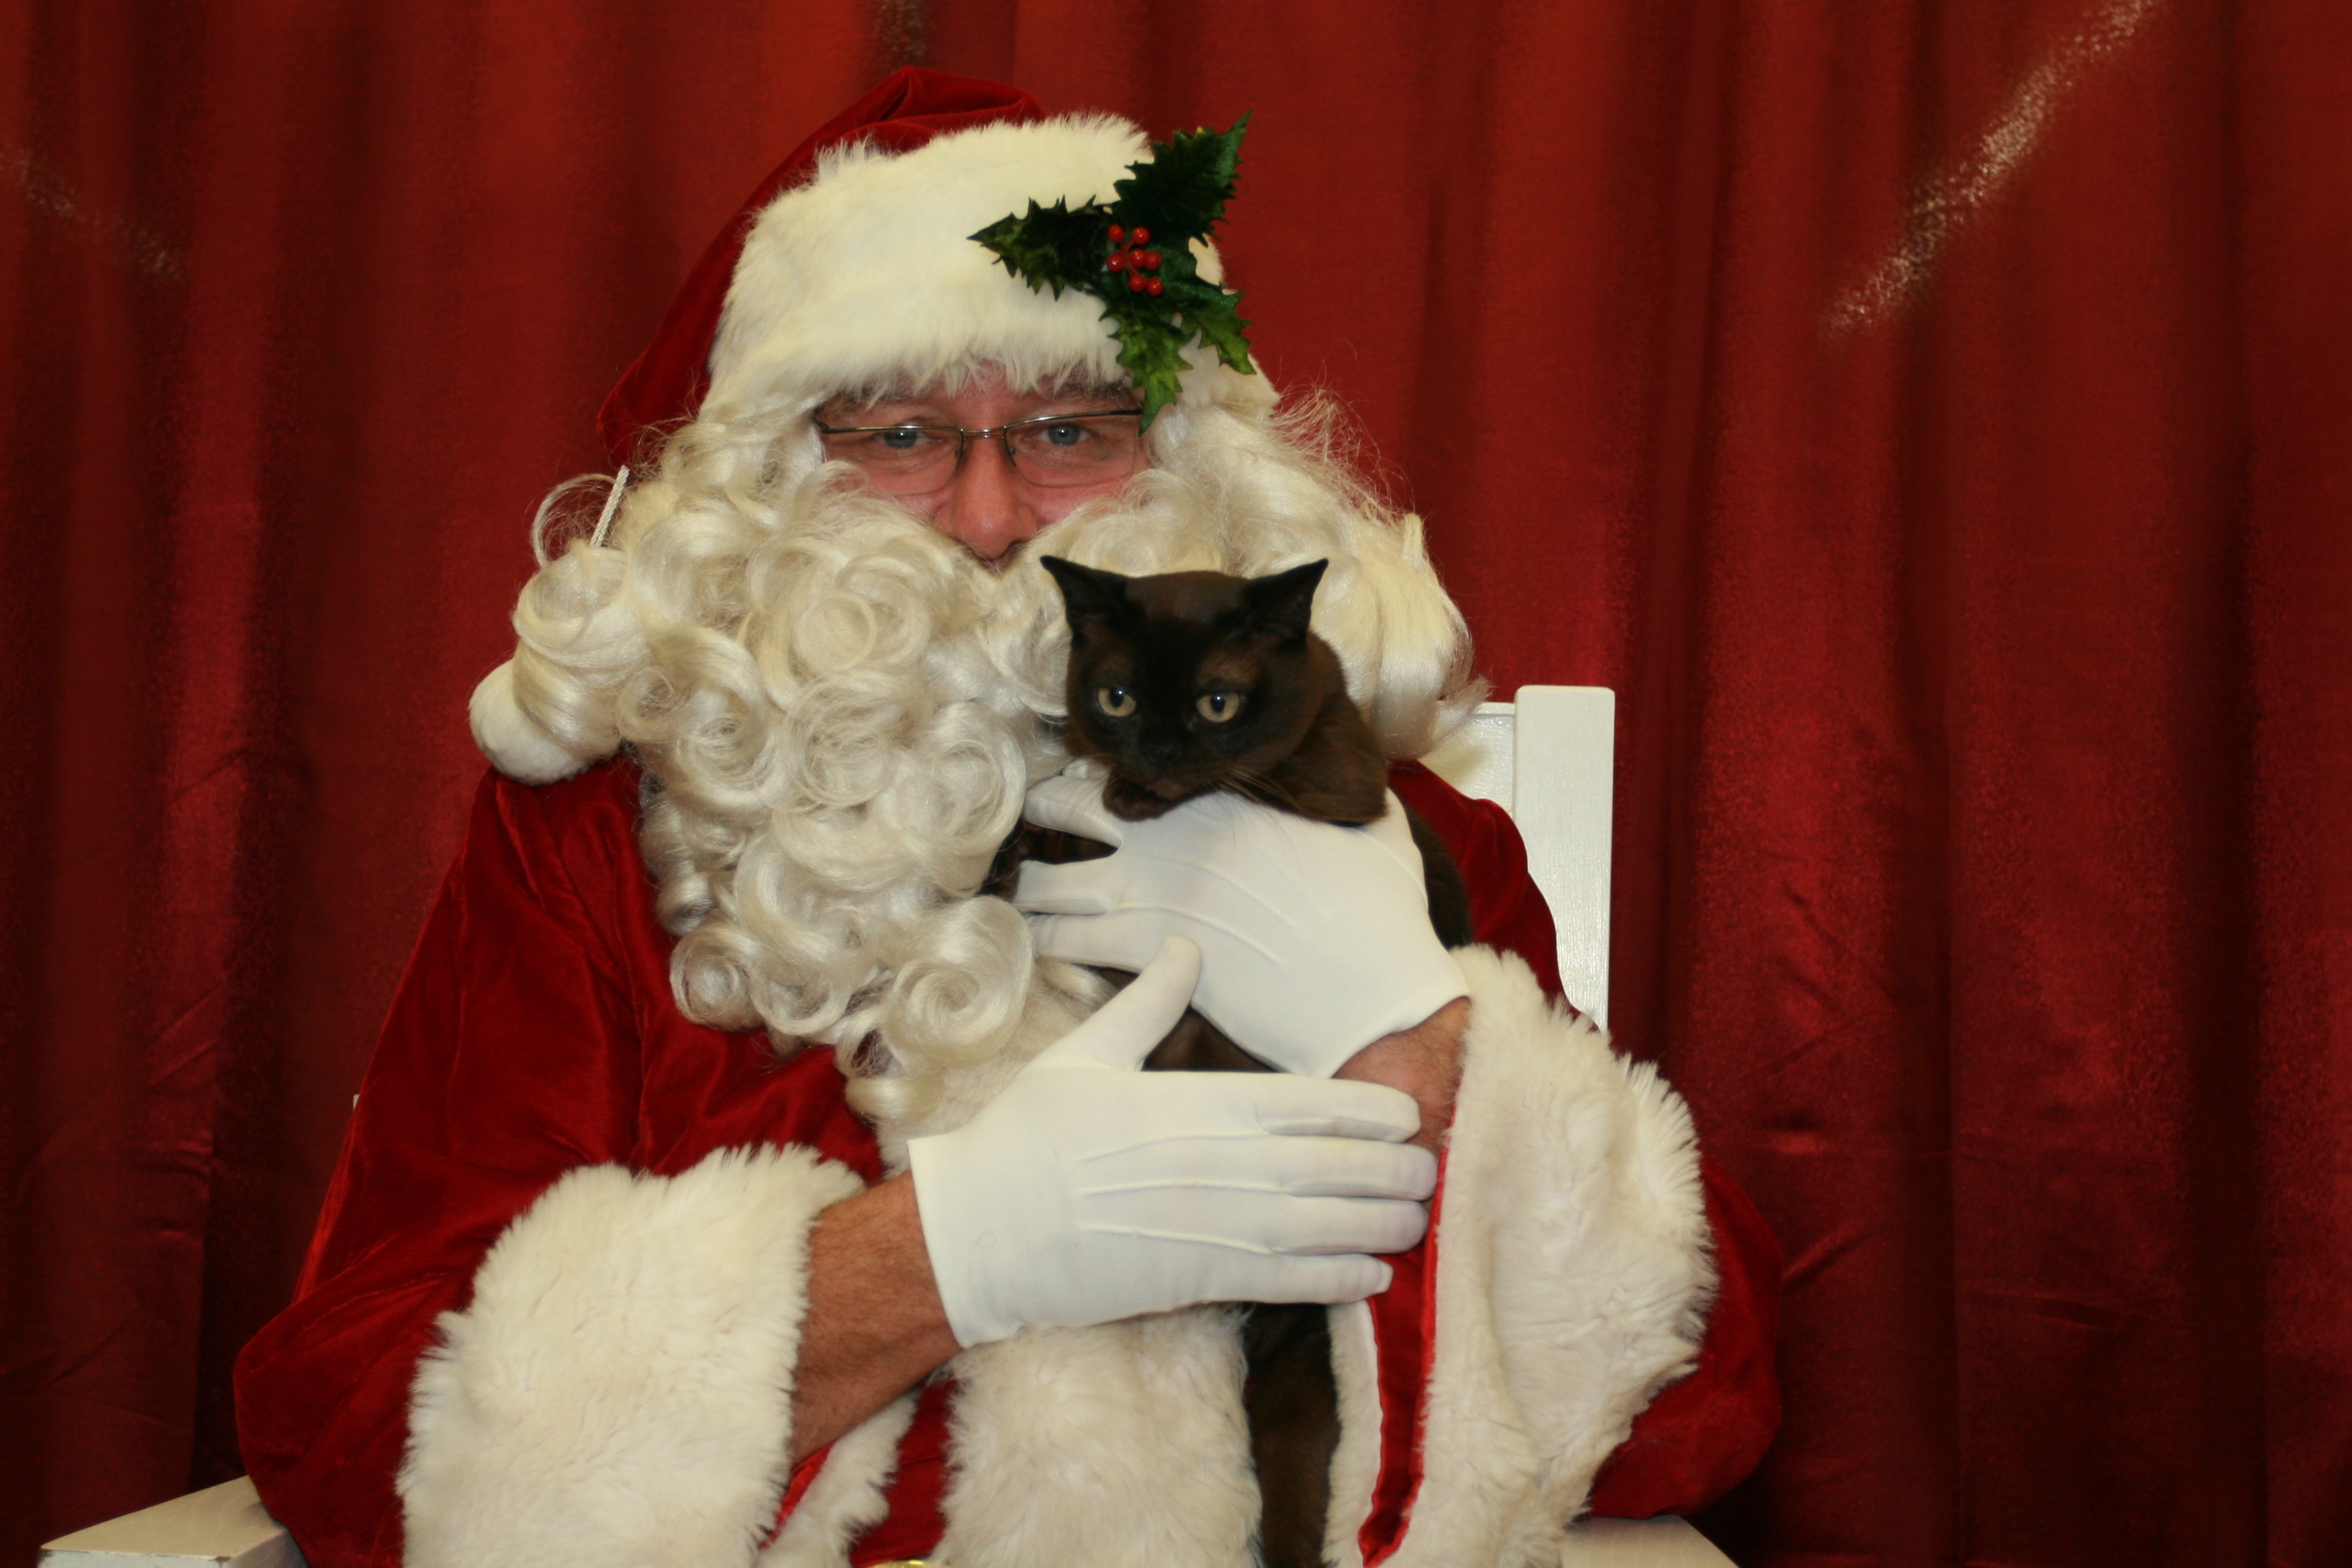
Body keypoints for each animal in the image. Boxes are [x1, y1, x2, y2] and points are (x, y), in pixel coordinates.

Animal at [985, 556, 1471, 1568]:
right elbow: (1054, 845)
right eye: (1118, 696)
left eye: (1217, 702)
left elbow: (1251, 783)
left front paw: (1135, 805)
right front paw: (1019, 851)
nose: (1161, 751)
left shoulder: (1340, 790)